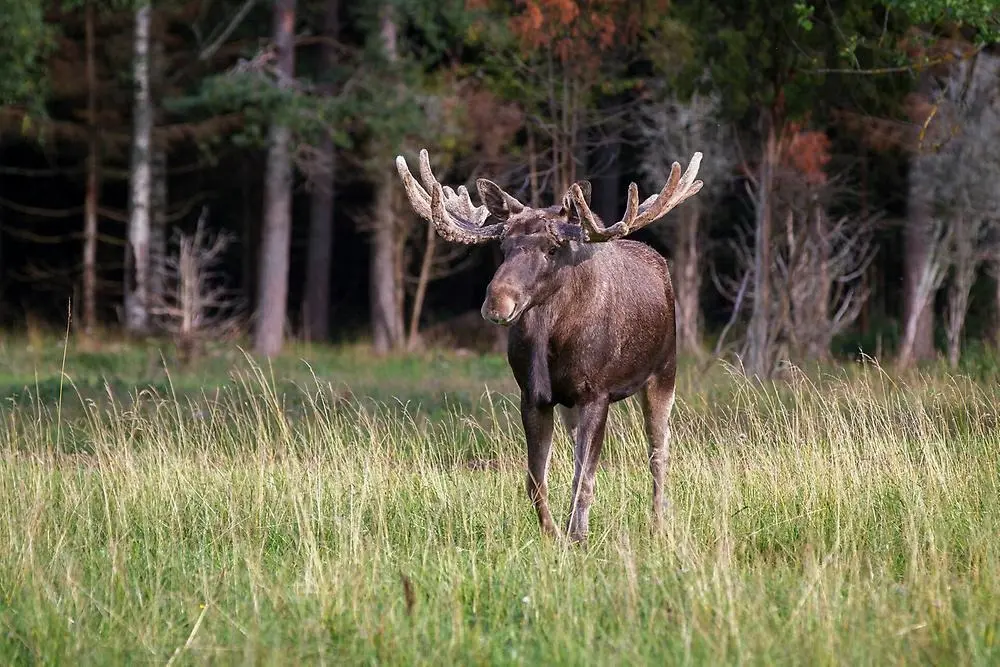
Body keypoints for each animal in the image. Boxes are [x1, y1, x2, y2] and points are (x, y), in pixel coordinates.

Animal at [392, 147, 704, 544]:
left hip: (665, 372)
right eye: (504, 246)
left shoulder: (596, 394)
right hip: (572, 403)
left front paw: (578, 536)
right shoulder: (533, 396)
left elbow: (583, 480)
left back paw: (658, 523)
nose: (497, 303)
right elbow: (536, 481)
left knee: (659, 453)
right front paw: (554, 534)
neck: (551, 341)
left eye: (554, 248)